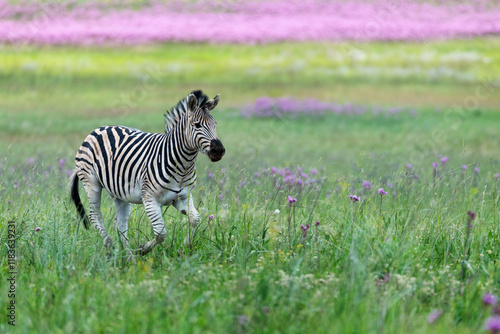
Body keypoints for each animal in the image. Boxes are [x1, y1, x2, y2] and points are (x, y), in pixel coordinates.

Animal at [69, 90, 226, 262]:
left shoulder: (182, 197)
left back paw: (129, 258)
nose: (219, 150)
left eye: (215, 124)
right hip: (92, 184)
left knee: (120, 225)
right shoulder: (150, 199)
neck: (183, 166)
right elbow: (161, 233)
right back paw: (111, 247)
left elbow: (195, 220)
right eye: (197, 125)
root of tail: (100, 129)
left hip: (121, 194)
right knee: (95, 215)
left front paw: (184, 249)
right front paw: (142, 250)